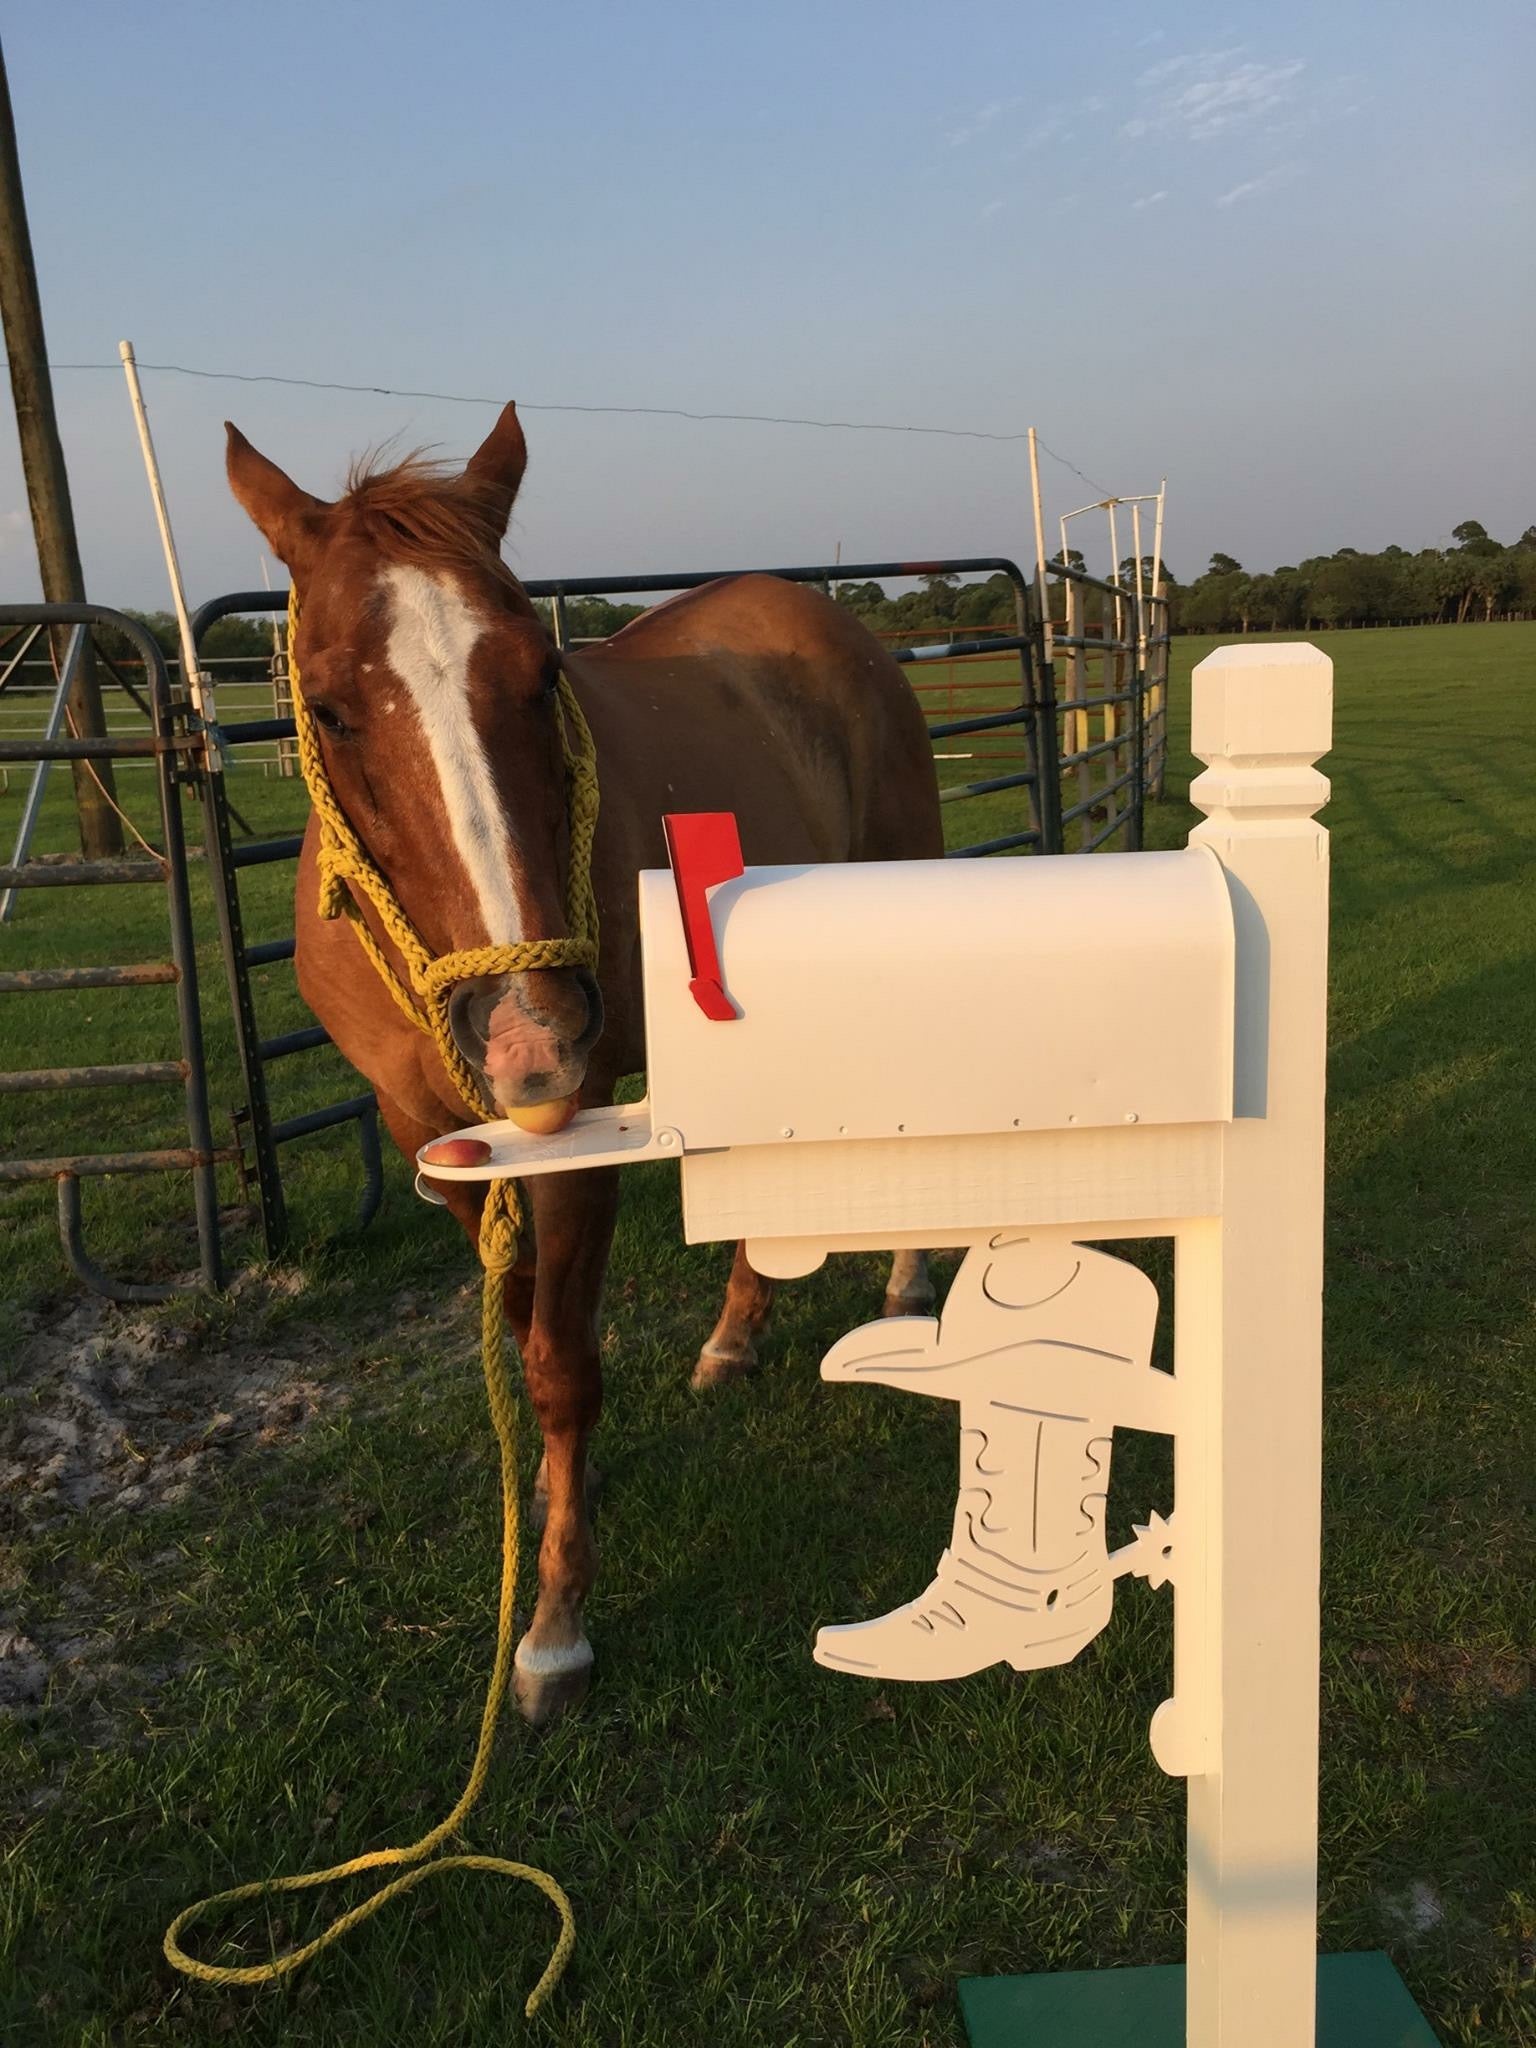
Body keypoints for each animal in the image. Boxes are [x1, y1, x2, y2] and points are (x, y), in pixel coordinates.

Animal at [225, 411, 950, 1728]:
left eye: (543, 675)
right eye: (330, 705)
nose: (530, 1033)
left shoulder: (578, 1128)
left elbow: (561, 1363)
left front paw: (555, 1621)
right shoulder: (432, 1136)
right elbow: (525, 1328)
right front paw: (581, 1489)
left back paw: (906, 1283)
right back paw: (738, 1334)